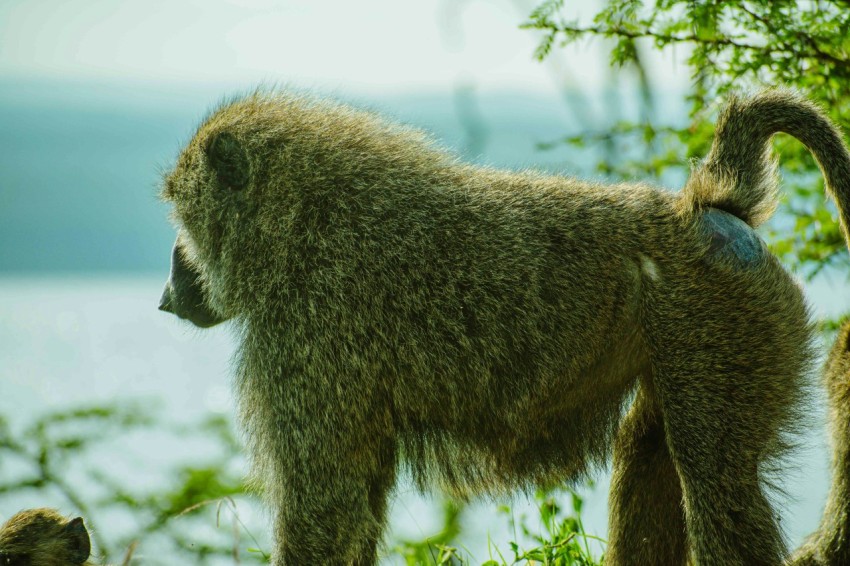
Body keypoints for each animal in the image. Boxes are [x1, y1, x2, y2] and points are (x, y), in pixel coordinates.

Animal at [158, 89, 850, 565]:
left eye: (183, 220)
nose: (167, 296)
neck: (302, 224)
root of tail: (703, 208)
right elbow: (355, 500)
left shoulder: (304, 334)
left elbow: (320, 508)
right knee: (653, 453)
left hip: (722, 321)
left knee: (715, 484)